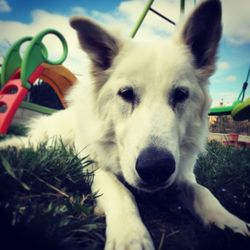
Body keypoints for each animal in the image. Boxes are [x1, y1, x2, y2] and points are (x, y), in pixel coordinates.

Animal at [0, 0, 249, 249]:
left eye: (180, 95)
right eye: (126, 94)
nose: (156, 168)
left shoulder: (182, 174)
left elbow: (202, 190)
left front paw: (230, 222)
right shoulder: (92, 165)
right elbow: (120, 191)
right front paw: (131, 235)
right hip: (54, 138)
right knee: (33, 143)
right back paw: (11, 146)